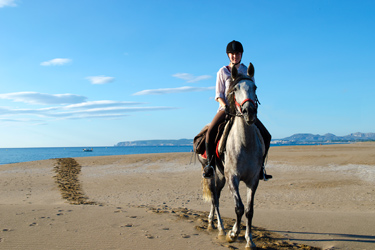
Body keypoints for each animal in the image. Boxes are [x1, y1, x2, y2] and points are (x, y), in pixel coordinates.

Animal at [198, 62, 266, 248]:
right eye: (235, 88)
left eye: (255, 87)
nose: (249, 111)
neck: (245, 144)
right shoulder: (232, 177)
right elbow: (239, 207)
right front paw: (233, 234)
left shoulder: (253, 180)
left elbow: (249, 210)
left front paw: (249, 240)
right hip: (212, 173)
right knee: (215, 198)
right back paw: (220, 228)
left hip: (221, 177)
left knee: (216, 195)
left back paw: (212, 222)